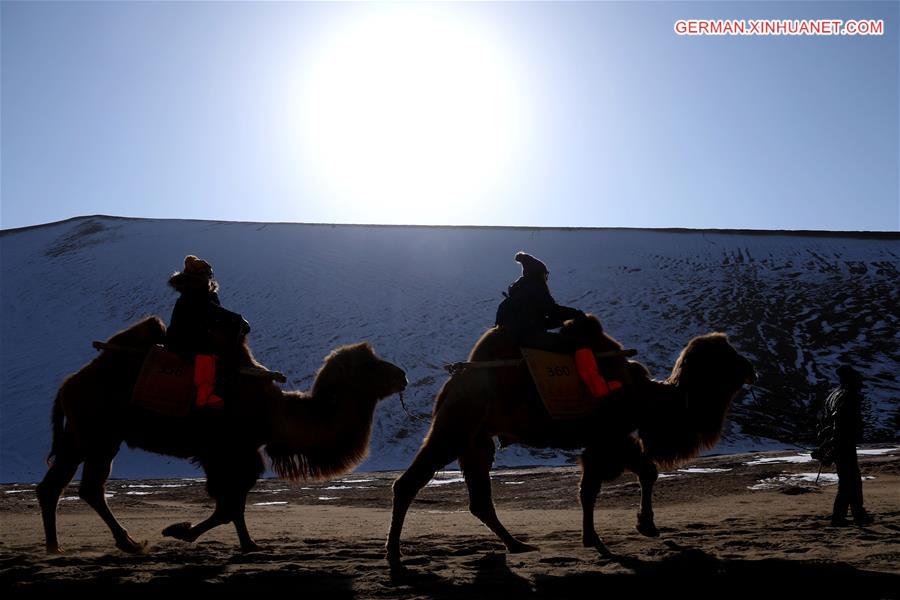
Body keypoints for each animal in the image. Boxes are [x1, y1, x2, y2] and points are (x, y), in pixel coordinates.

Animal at [37, 316, 408, 556]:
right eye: (373, 366)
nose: (402, 374)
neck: (275, 411)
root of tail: (67, 385)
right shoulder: (227, 452)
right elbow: (228, 505)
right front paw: (178, 530)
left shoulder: (239, 454)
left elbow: (235, 504)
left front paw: (249, 545)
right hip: (96, 434)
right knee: (81, 486)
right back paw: (114, 544)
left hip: (89, 436)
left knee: (66, 486)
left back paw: (67, 546)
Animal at [384, 314, 756, 556]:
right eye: (727, 356)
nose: (751, 367)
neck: (648, 398)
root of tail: (453, 382)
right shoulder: (608, 438)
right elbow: (599, 486)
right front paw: (602, 538)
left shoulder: (611, 439)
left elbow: (628, 477)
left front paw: (637, 527)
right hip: (456, 429)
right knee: (409, 483)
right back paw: (393, 553)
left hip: (476, 440)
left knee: (479, 499)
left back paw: (517, 544)